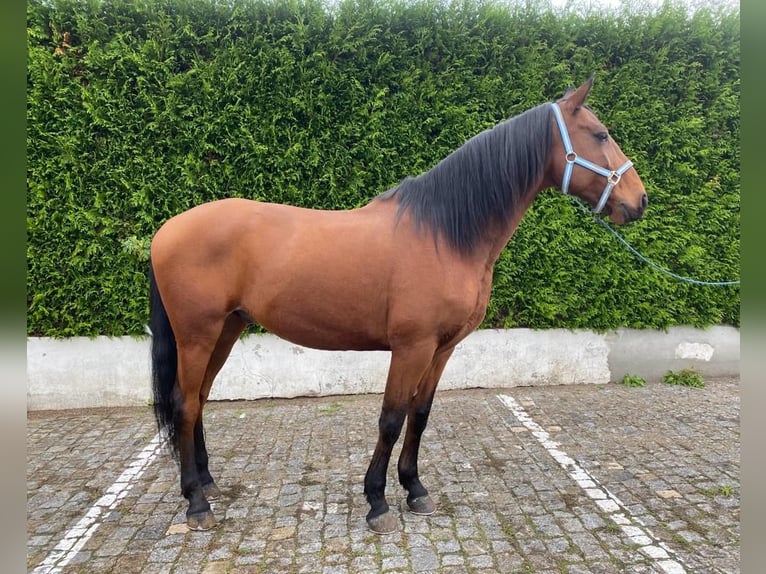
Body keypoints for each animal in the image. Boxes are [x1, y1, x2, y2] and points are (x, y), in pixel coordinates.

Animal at [150, 76, 648, 536]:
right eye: (600, 134)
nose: (639, 200)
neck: (444, 234)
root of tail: (166, 230)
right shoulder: (412, 346)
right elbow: (391, 418)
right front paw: (377, 502)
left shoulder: (442, 348)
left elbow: (419, 415)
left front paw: (415, 489)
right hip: (197, 335)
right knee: (185, 403)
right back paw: (196, 504)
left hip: (226, 330)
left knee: (200, 398)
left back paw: (207, 484)